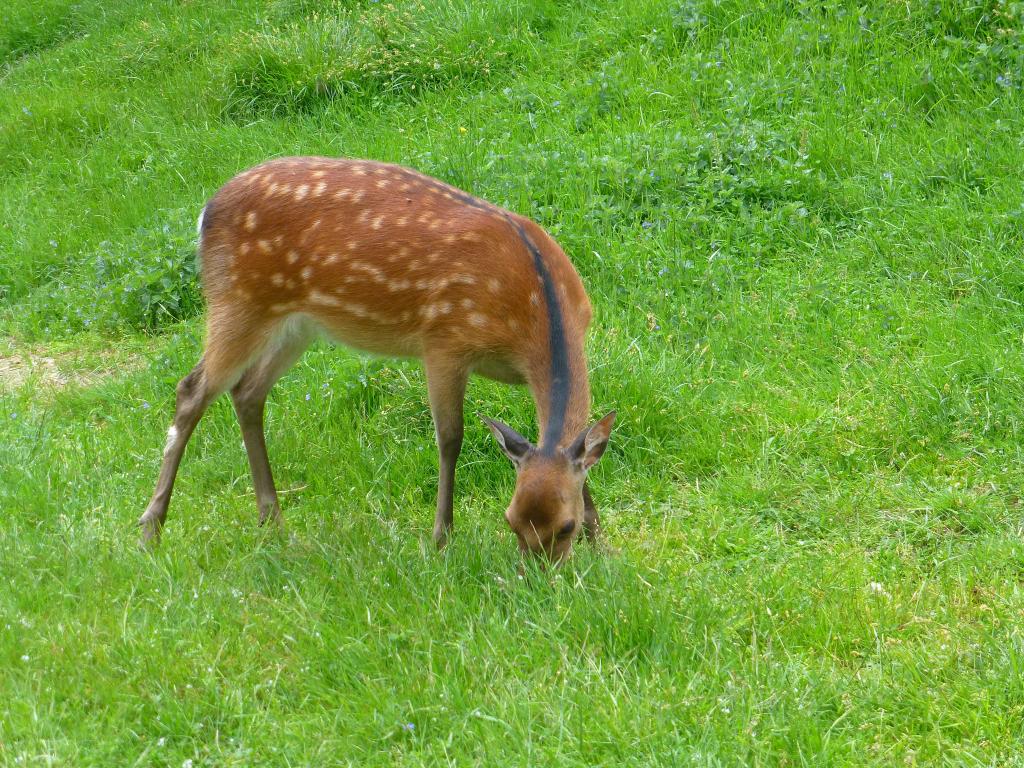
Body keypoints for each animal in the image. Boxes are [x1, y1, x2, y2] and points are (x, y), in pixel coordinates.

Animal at [137, 157, 614, 565]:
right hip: (237, 300)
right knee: (191, 389)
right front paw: (441, 540)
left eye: (565, 526)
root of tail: (205, 213)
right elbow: (450, 439)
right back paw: (151, 530)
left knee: (247, 391)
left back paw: (272, 522)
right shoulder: (443, 343)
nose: (537, 576)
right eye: (510, 521)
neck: (532, 312)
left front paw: (601, 542)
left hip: (296, 323)